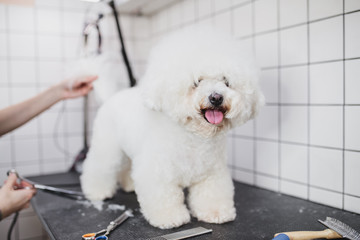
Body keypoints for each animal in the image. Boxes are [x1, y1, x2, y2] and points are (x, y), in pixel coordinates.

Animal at [80, 29, 262, 230]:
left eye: (226, 81)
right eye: (197, 81)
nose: (216, 97)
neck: (193, 137)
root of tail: (110, 97)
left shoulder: (212, 173)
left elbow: (211, 194)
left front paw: (215, 212)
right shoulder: (157, 172)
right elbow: (164, 197)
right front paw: (169, 217)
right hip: (107, 147)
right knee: (98, 167)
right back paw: (97, 191)